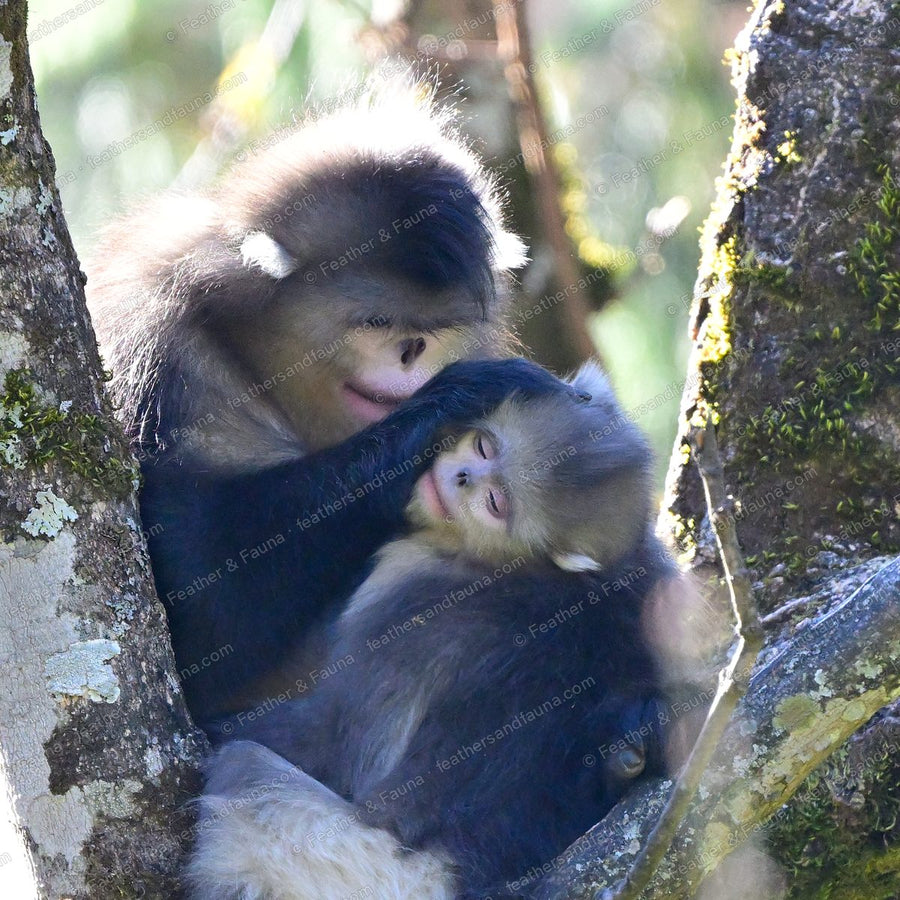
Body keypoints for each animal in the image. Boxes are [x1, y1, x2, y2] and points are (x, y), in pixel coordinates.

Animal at [85, 81, 569, 722]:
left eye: (434, 331)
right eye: (378, 321)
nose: (412, 351)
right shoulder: (151, 350)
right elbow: (197, 601)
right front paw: (450, 405)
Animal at [186, 362, 699, 900]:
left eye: (495, 503)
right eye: (483, 447)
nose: (461, 477)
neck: (509, 564)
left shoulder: (404, 582)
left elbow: (332, 739)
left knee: (246, 766)